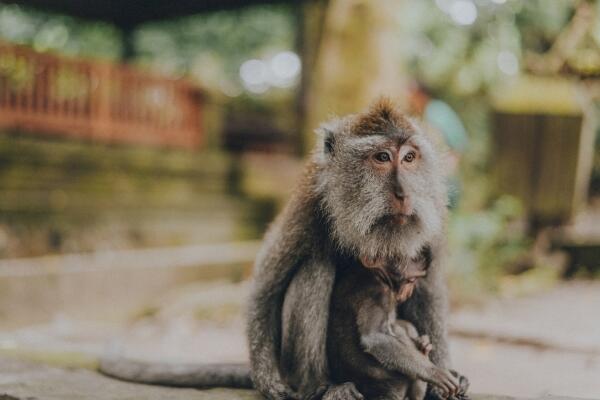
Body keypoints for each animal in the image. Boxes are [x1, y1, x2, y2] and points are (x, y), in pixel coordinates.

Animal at [328, 248, 464, 398]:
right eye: (411, 279)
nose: (409, 291)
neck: (376, 275)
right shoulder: (380, 293)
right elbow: (374, 337)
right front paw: (434, 372)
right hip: (392, 384)